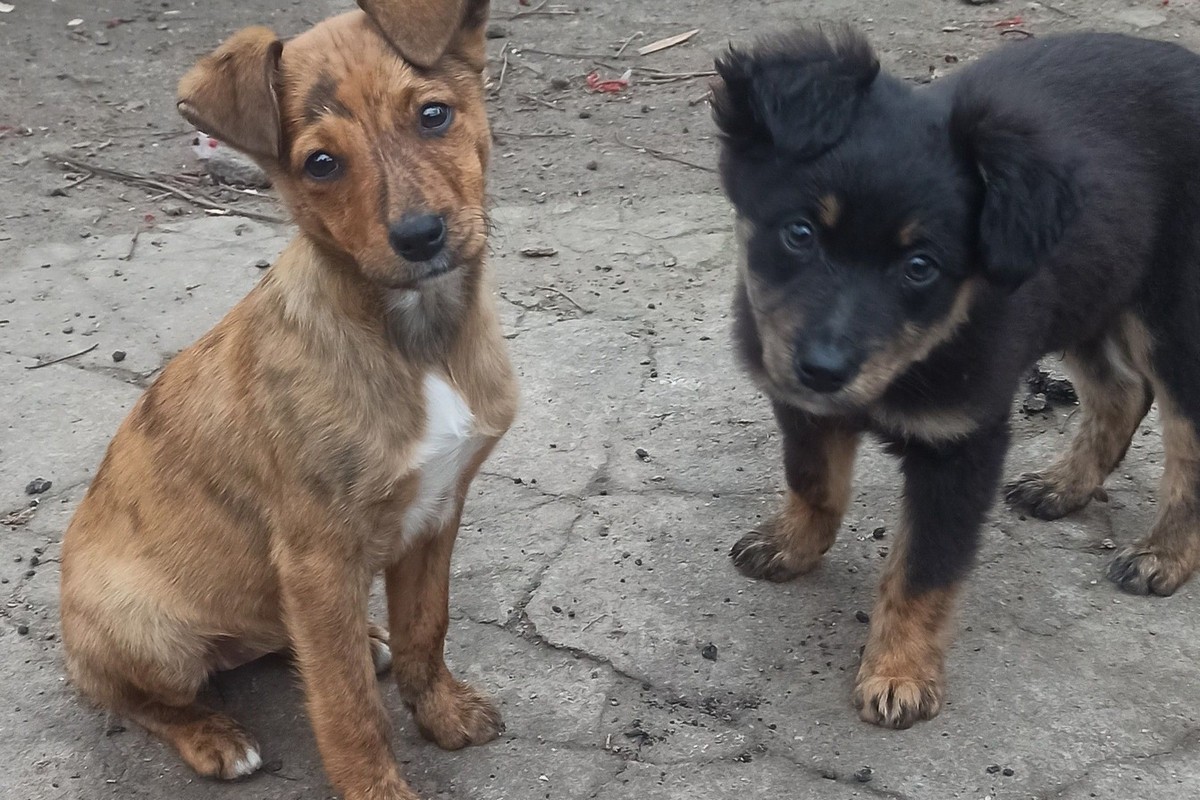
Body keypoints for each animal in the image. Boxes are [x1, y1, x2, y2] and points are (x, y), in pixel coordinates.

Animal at [59, 3, 516, 796]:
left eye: (434, 115)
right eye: (321, 164)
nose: (419, 236)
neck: (417, 342)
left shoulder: (437, 511)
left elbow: (426, 627)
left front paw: (441, 711)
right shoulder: (317, 556)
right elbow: (345, 705)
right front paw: (377, 786)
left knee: (287, 640)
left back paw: (365, 639)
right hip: (149, 629)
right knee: (130, 696)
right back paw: (213, 736)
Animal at [715, 28, 1200, 734]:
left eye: (920, 266)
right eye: (800, 232)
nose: (824, 369)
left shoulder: (961, 442)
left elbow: (924, 568)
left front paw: (899, 672)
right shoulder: (798, 397)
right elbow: (812, 480)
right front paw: (794, 545)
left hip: (1174, 319)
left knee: (1185, 443)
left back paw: (1163, 554)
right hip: (1090, 287)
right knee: (1121, 390)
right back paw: (1064, 485)